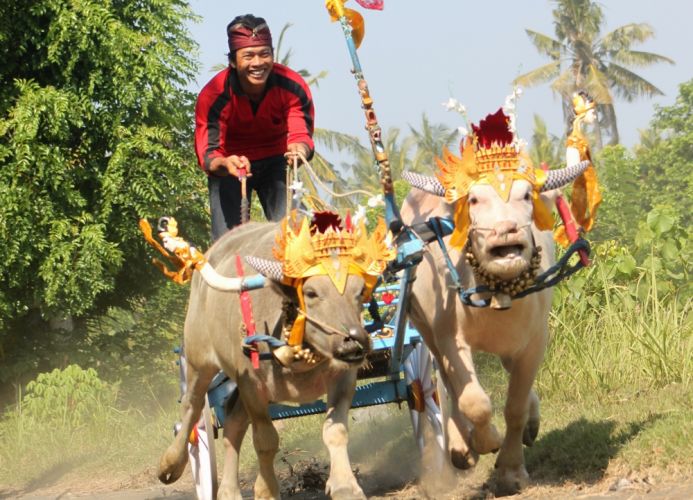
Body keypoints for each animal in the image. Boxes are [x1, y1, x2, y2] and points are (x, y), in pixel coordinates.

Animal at [157, 216, 392, 500]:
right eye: (311, 292)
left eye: (359, 292)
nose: (353, 343)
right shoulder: (252, 385)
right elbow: (265, 440)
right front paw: (267, 490)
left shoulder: (342, 378)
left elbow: (335, 430)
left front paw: (346, 486)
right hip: (198, 360)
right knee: (191, 410)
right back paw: (170, 464)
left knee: (233, 424)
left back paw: (229, 491)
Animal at [398, 107, 588, 494]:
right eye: (474, 200)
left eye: (526, 196)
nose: (505, 232)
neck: (496, 294)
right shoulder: (450, 338)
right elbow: (473, 401)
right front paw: (486, 442)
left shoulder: (534, 340)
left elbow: (515, 405)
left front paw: (512, 470)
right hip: (425, 331)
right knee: (446, 385)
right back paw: (461, 448)